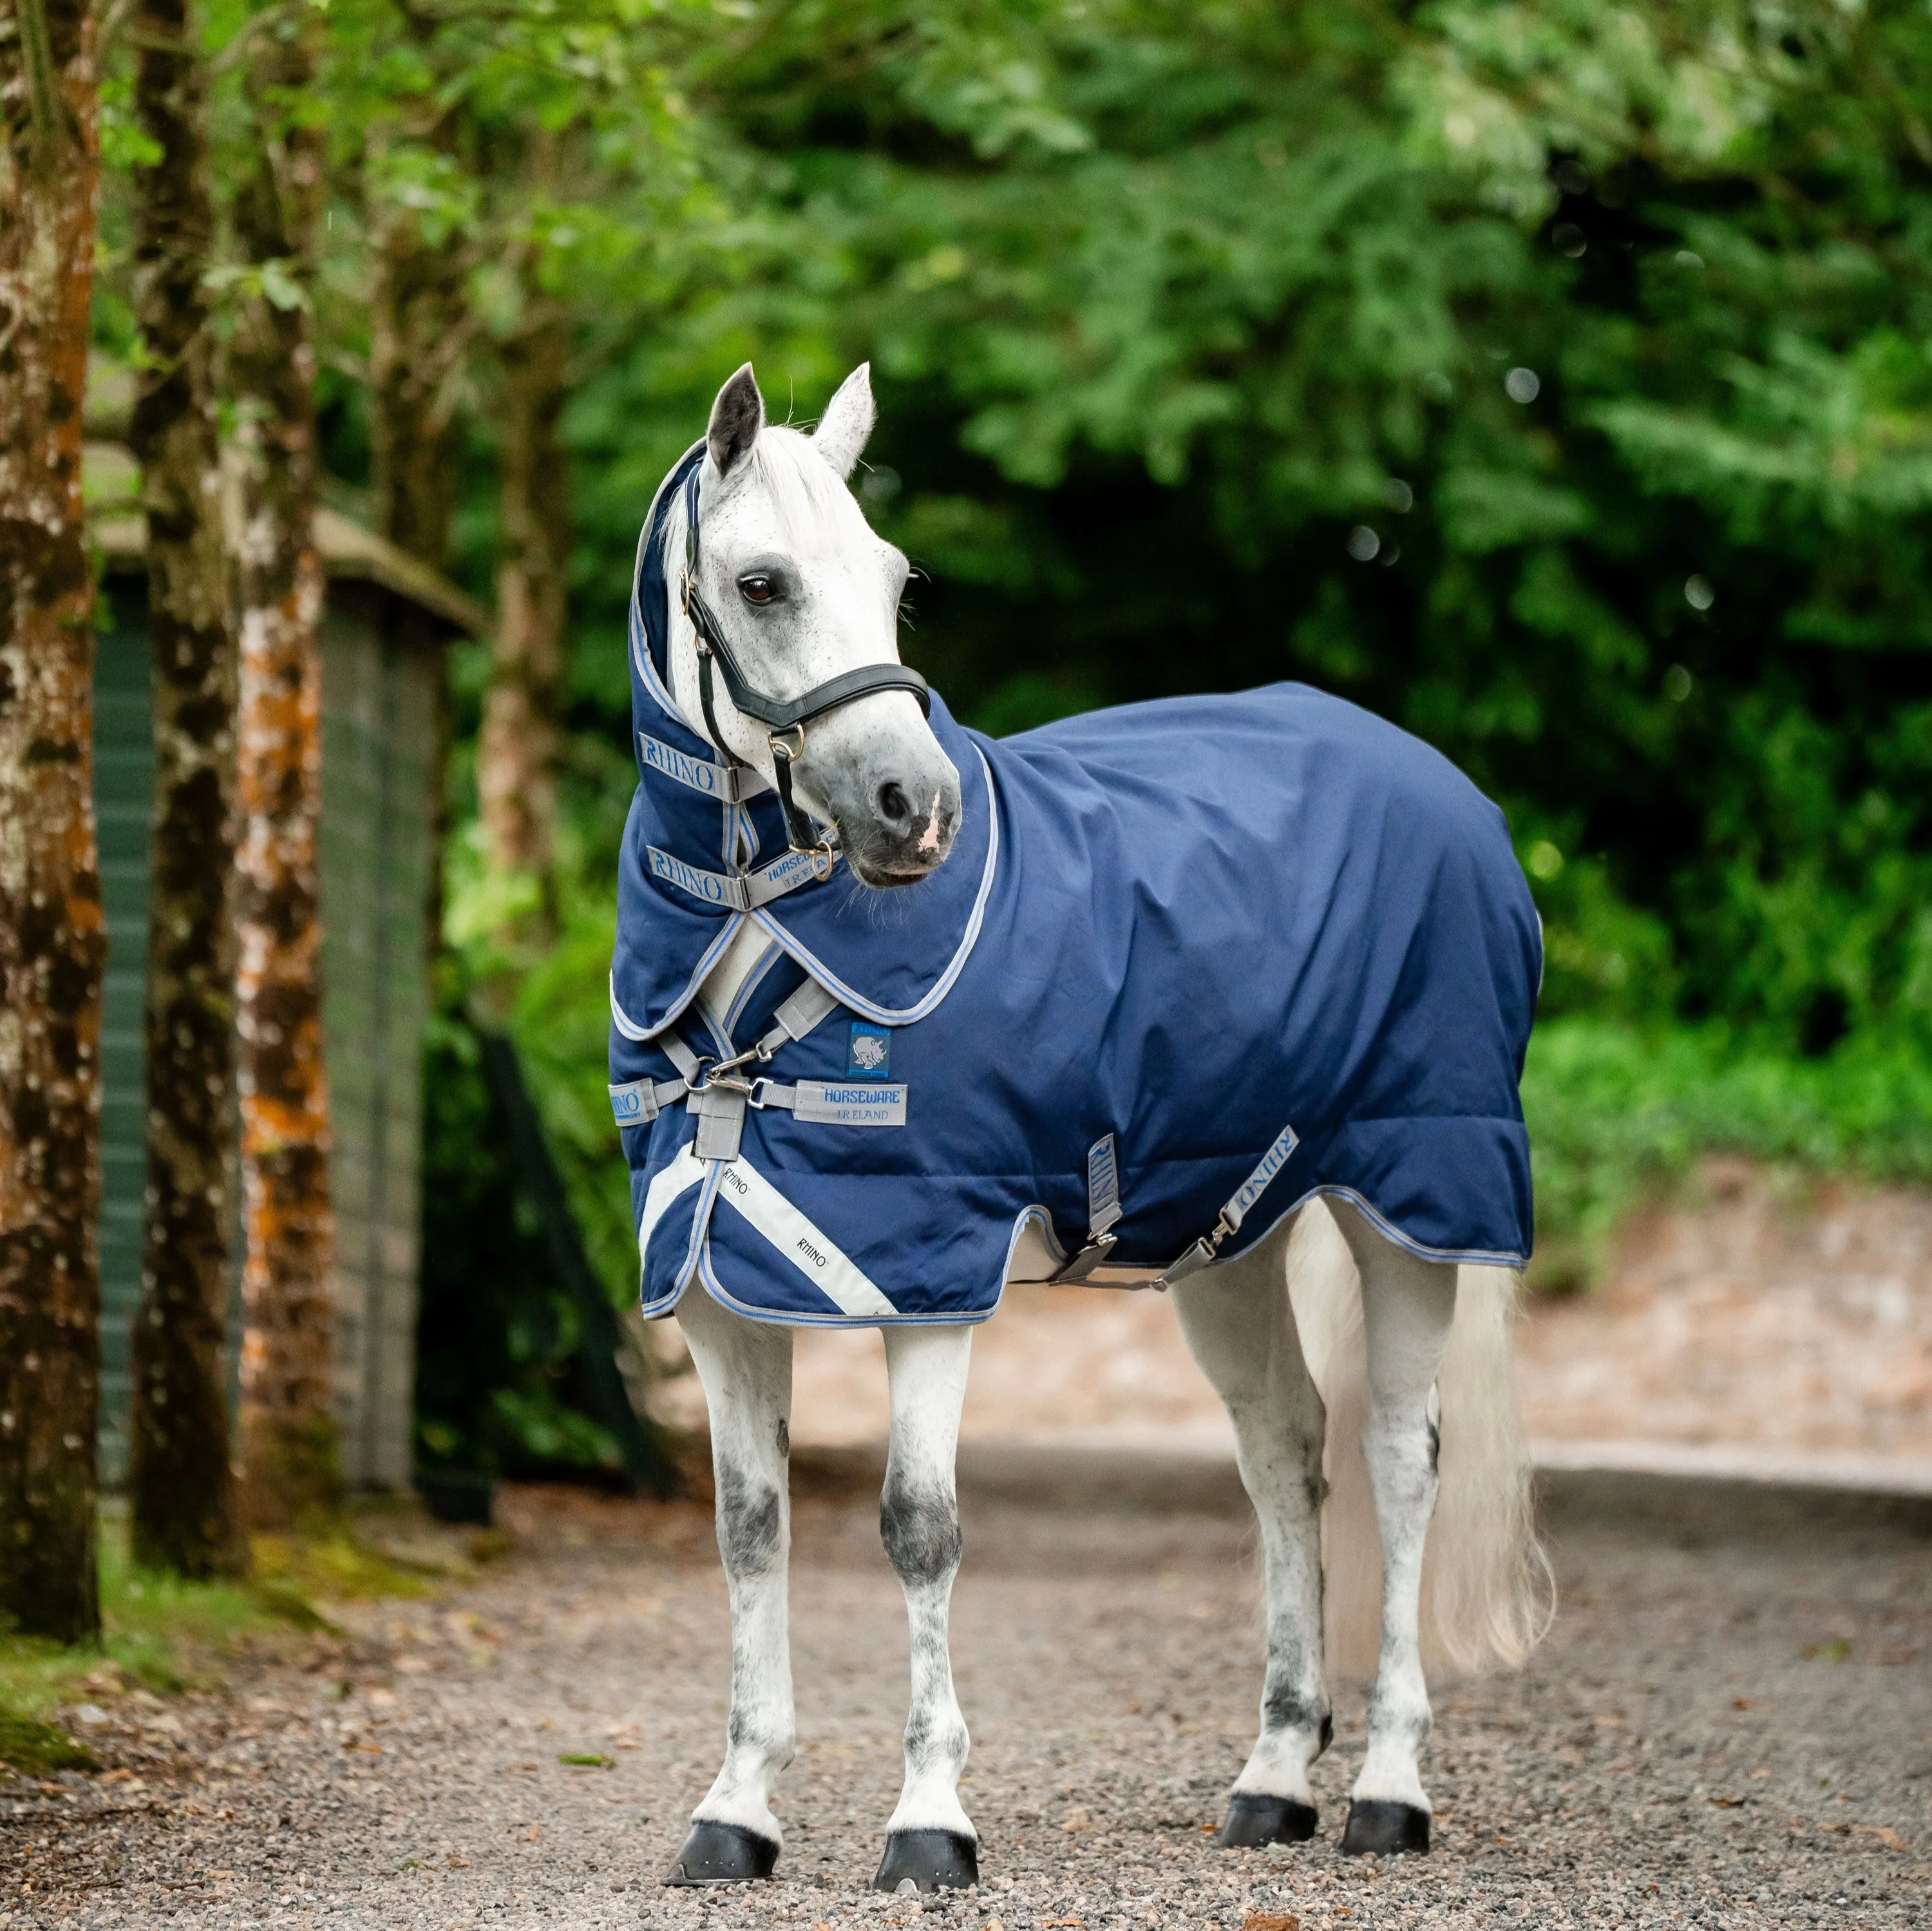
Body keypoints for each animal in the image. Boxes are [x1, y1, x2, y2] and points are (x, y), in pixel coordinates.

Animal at [606, 361, 1550, 1894]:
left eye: (892, 576)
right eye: (760, 582)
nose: (914, 810)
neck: (761, 936)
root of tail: (1448, 791)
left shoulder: (927, 1269)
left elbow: (918, 1527)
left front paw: (929, 1817)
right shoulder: (713, 1284)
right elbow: (751, 1531)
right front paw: (737, 1806)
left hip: (1416, 1199)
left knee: (1402, 1462)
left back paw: (1390, 1789)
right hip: (1234, 1238)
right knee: (1285, 1453)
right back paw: (1273, 1776)